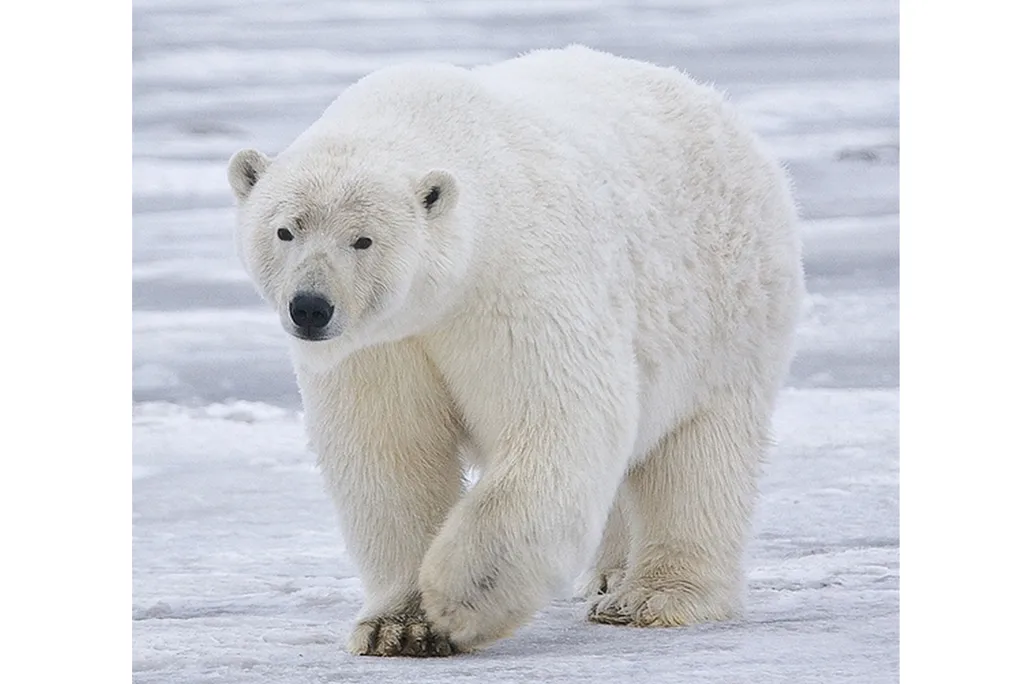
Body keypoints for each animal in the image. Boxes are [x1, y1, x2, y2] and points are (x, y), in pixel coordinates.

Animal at [227, 45, 804, 657]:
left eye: (363, 240)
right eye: (285, 230)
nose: (310, 308)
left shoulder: (514, 284)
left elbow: (559, 419)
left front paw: (458, 599)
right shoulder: (381, 345)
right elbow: (389, 453)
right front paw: (398, 626)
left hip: (727, 311)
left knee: (698, 456)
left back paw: (651, 597)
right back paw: (607, 575)